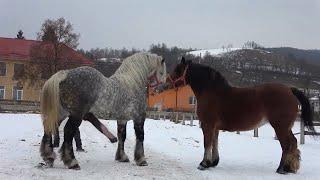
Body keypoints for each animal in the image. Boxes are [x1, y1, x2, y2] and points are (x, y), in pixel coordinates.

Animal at [38, 52, 166, 169]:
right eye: (162, 72)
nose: (161, 89)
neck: (132, 83)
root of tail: (65, 74)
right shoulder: (139, 117)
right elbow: (140, 137)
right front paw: (141, 160)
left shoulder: (122, 119)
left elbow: (122, 136)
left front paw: (122, 157)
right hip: (76, 115)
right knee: (68, 131)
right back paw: (72, 162)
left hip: (61, 113)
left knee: (48, 128)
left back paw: (49, 157)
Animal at [169, 57, 316, 174]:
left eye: (177, 69)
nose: (167, 82)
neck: (212, 91)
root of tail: (290, 90)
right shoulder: (215, 127)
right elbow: (215, 142)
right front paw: (213, 162)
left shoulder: (207, 125)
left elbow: (207, 143)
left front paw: (204, 164)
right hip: (286, 127)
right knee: (293, 143)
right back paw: (289, 168)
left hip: (280, 127)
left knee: (286, 145)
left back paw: (281, 169)